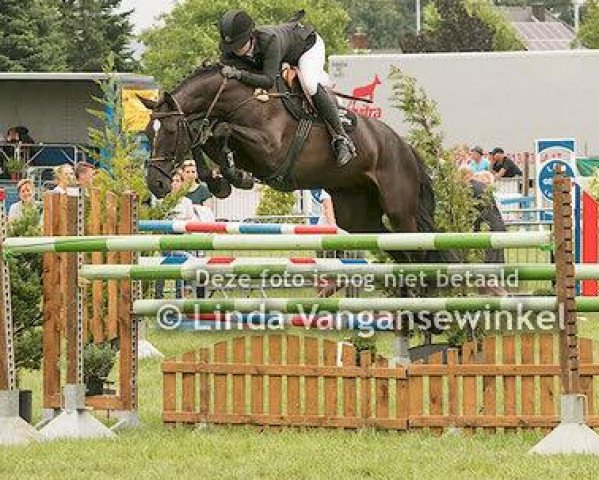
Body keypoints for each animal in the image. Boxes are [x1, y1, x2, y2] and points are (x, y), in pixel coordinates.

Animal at [141, 61, 452, 268]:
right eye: (147, 133)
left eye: (169, 131)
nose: (155, 184)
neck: (245, 100)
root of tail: (405, 147)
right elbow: (204, 136)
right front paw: (220, 181)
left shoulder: (271, 151)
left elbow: (221, 130)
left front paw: (233, 175)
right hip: (357, 216)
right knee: (394, 248)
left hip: (400, 210)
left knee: (417, 251)